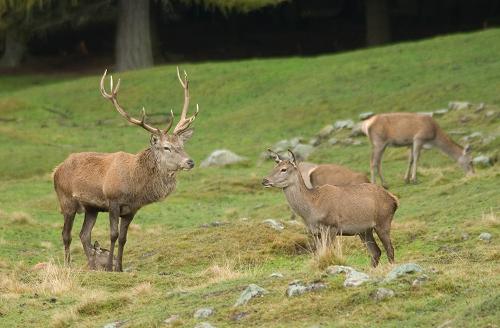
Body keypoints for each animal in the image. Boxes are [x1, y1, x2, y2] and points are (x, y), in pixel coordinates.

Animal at [52, 67, 197, 272]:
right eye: (166, 147)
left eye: (181, 145)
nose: (190, 162)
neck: (135, 185)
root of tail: (56, 169)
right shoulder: (113, 200)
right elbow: (112, 234)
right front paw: (110, 267)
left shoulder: (132, 209)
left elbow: (123, 238)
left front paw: (119, 267)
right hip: (66, 201)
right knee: (66, 234)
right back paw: (68, 265)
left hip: (91, 208)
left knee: (84, 234)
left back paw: (92, 266)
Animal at [262, 150, 398, 268]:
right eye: (274, 167)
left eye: (283, 169)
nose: (264, 180)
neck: (311, 211)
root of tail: (394, 200)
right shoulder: (315, 232)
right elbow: (318, 253)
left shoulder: (332, 227)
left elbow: (327, 252)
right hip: (364, 230)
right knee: (376, 251)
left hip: (383, 222)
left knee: (389, 249)